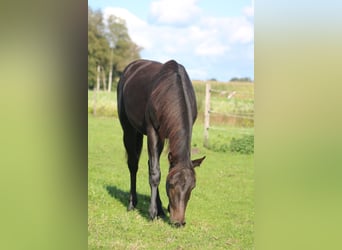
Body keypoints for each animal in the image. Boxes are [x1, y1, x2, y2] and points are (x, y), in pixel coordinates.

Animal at [116, 58, 204, 227]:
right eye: (171, 185)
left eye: (193, 187)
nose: (179, 222)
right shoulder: (152, 131)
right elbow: (155, 173)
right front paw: (152, 213)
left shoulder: (167, 134)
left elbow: (158, 168)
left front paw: (162, 209)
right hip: (128, 129)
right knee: (133, 164)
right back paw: (132, 203)